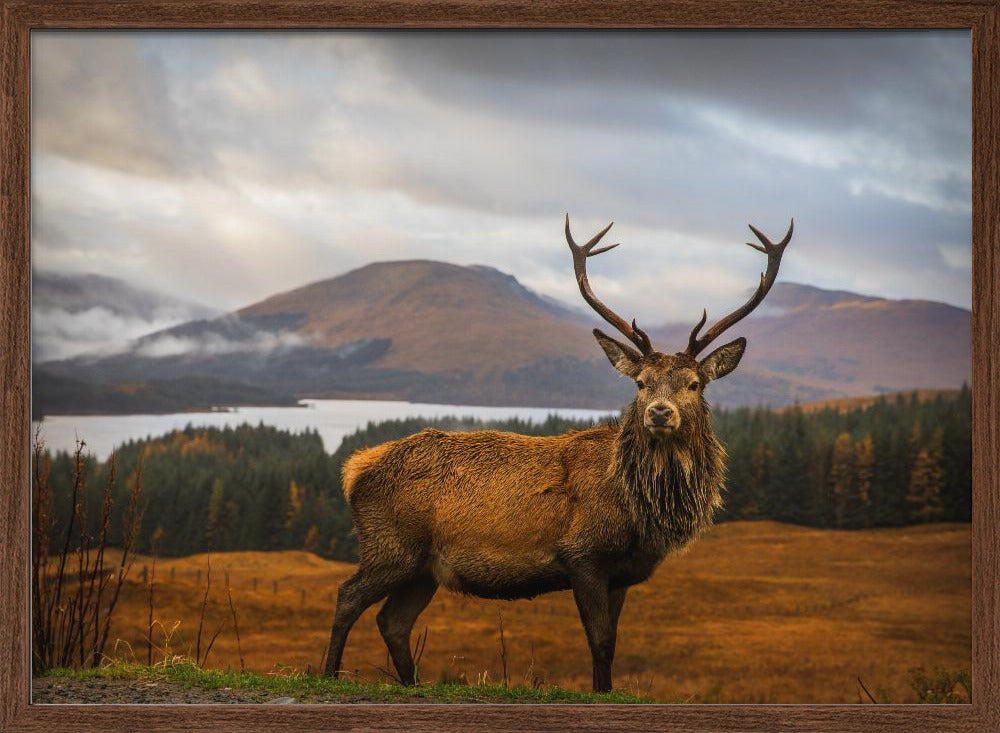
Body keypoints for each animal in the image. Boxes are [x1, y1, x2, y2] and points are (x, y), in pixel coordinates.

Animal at [323, 215, 793, 693]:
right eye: (640, 383)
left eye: (695, 384)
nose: (660, 412)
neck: (640, 512)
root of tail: (354, 468)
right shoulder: (581, 554)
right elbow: (599, 641)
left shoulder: (622, 574)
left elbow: (612, 643)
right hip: (390, 546)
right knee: (347, 597)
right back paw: (328, 673)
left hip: (423, 568)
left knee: (393, 621)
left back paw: (411, 684)